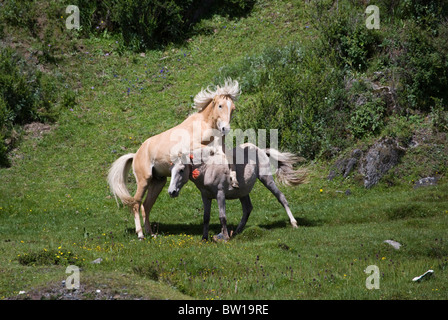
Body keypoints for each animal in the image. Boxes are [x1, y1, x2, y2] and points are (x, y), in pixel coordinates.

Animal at [108, 79, 240, 239]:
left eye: (233, 108)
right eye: (220, 105)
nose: (225, 129)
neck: (203, 126)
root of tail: (136, 155)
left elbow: (228, 157)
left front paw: (234, 181)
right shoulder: (192, 148)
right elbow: (212, 152)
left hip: (158, 182)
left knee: (146, 205)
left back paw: (151, 234)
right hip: (144, 180)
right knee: (136, 204)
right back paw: (140, 234)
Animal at [168, 144, 308, 241]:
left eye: (181, 170)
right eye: (171, 170)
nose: (171, 192)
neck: (208, 168)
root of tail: (261, 150)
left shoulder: (220, 194)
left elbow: (222, 216)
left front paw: (225, 237)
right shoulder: (206, 196)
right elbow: (206, 217)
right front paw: (204, 238)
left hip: (267, 180)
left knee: (281, 197)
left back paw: (294, 223)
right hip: (243, 193)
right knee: (247, 209)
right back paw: (237, 231)